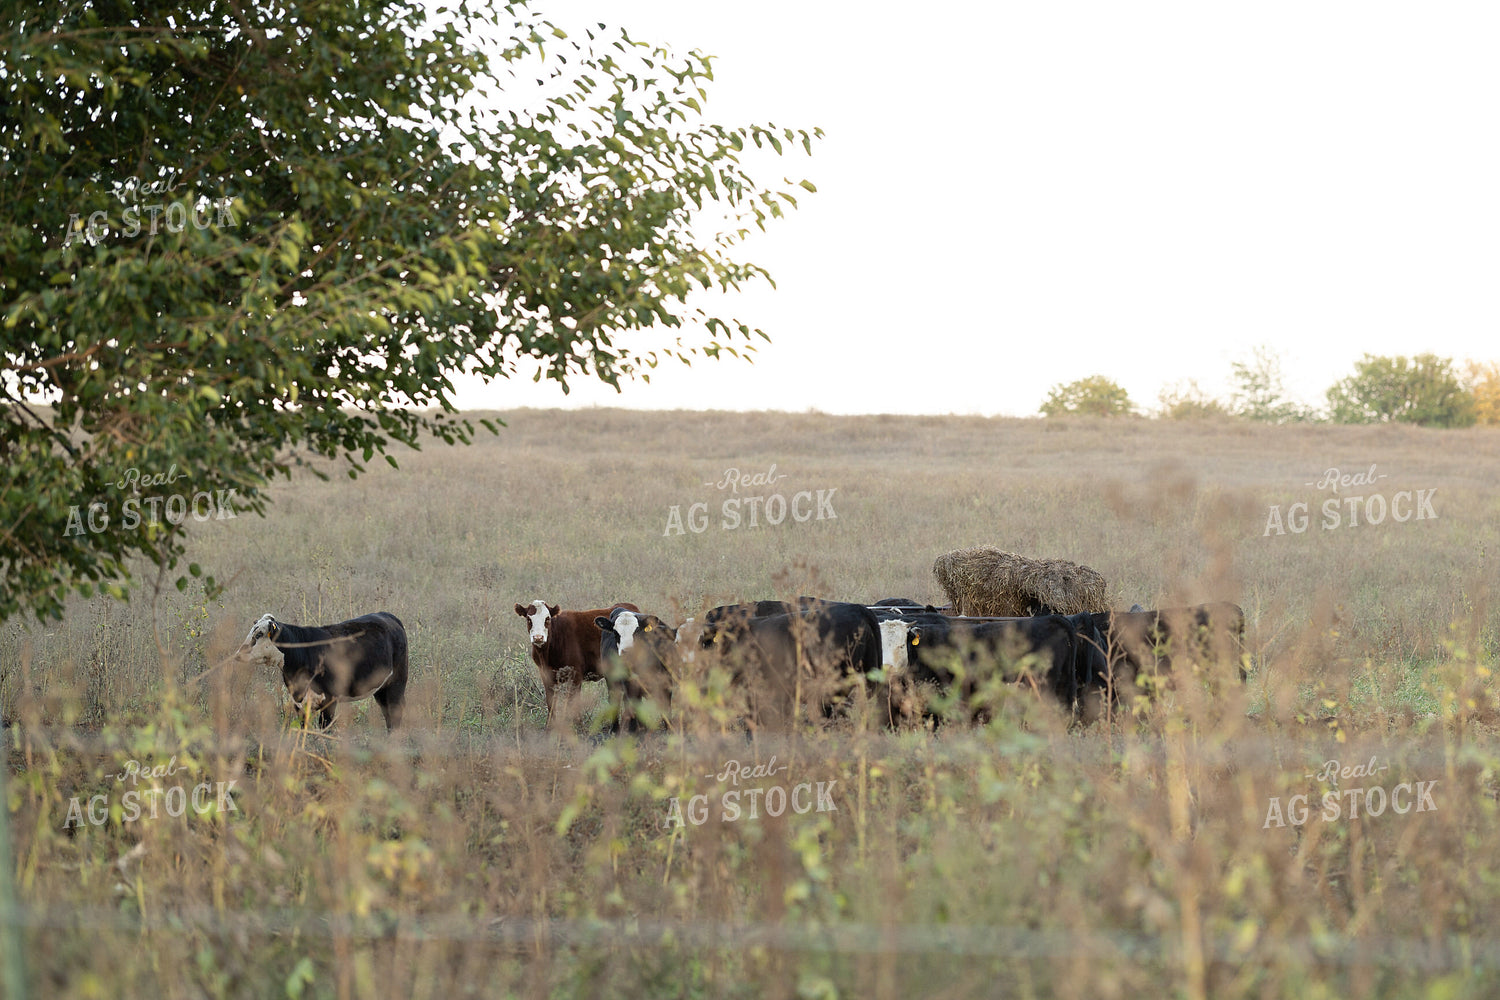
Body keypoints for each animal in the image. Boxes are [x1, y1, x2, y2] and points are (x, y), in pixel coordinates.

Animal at [237, 612, 409, 730]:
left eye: (259, 634)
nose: (238, 654)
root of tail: (387, 615)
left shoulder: (330, 700)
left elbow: (324, 728)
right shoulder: (298, 702)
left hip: (397, 683)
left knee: (395, 714)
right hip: (381, 690)